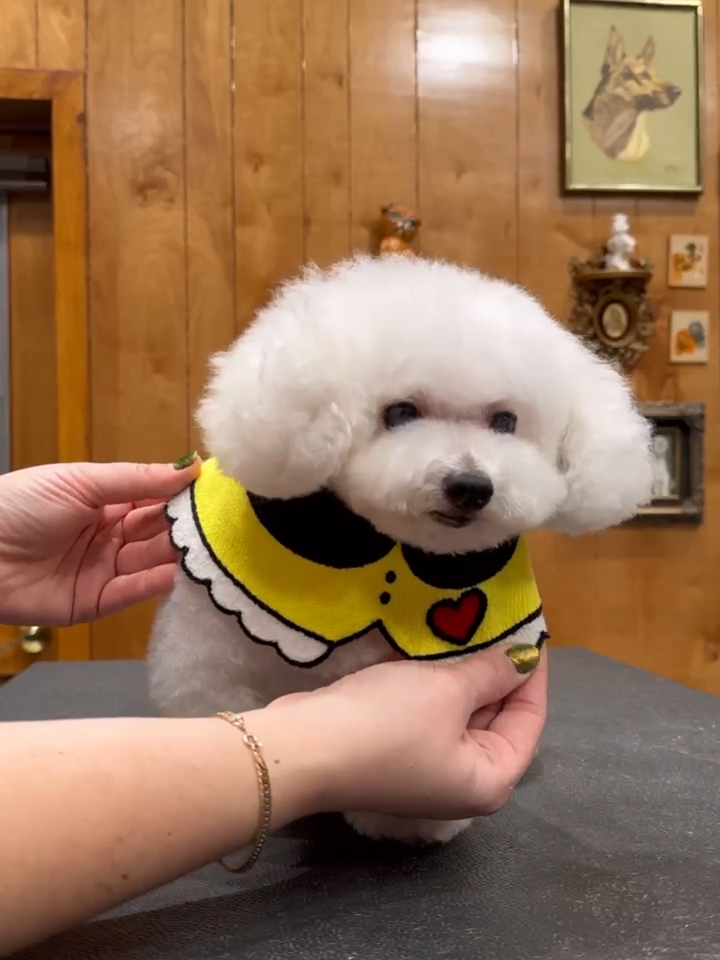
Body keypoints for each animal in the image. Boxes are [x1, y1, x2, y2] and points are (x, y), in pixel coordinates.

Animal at [146, 253, 652, 840]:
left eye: (506, 421)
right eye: (401, 412)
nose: (471, 486)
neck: (386, 548)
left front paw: (402, 819)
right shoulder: (211, 654)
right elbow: (213, 695)